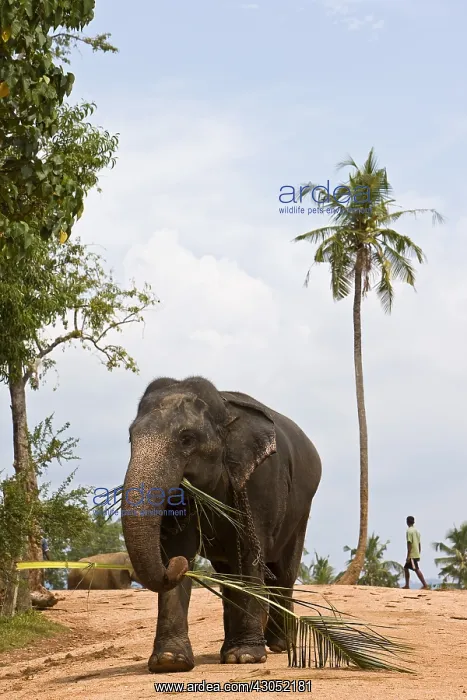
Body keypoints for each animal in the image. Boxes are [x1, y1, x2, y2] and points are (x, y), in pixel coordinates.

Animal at [121, 376, 321, 673]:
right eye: (131, 438)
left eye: (187, 439)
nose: (176, 567)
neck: (225, 412)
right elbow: (178, 547)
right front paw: (169, 662)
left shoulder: (259, 483)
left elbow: (250, 553)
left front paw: (245, 657)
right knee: (229, 577)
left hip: (302, 509)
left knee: (284, 571)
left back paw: (278, 646)